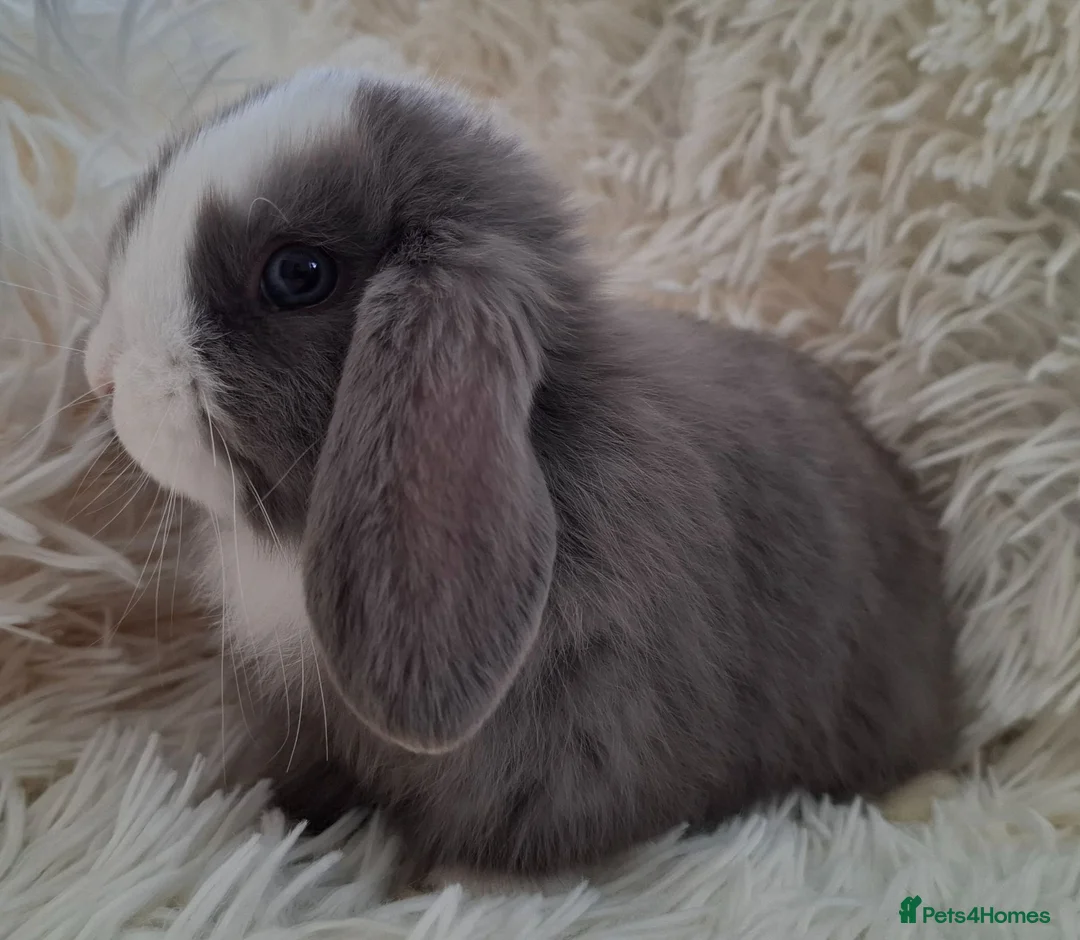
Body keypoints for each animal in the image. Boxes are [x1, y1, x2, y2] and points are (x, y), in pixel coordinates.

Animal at [83, 67, 960, 886]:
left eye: (297, 274)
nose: (101, 373)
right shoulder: (302, 717)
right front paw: (251, 822)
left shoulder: (568, 754)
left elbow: (509, 851)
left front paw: (438, 889)